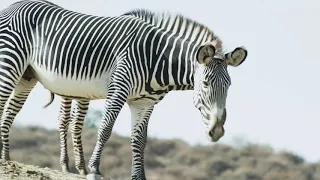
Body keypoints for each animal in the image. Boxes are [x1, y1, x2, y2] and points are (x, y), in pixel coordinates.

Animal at [0, 0, 249, 179]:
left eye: (228, 87)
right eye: (205, 84)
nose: (217, 131)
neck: (157, 58)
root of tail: (13, 6)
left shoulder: (144, 102)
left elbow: (140, 139)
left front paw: (138, 176)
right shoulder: (118, 89)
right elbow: (105, 129)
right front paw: (94, 170)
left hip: (26, 76)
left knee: (9, 112)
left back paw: (6, 158)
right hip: (9, 63)